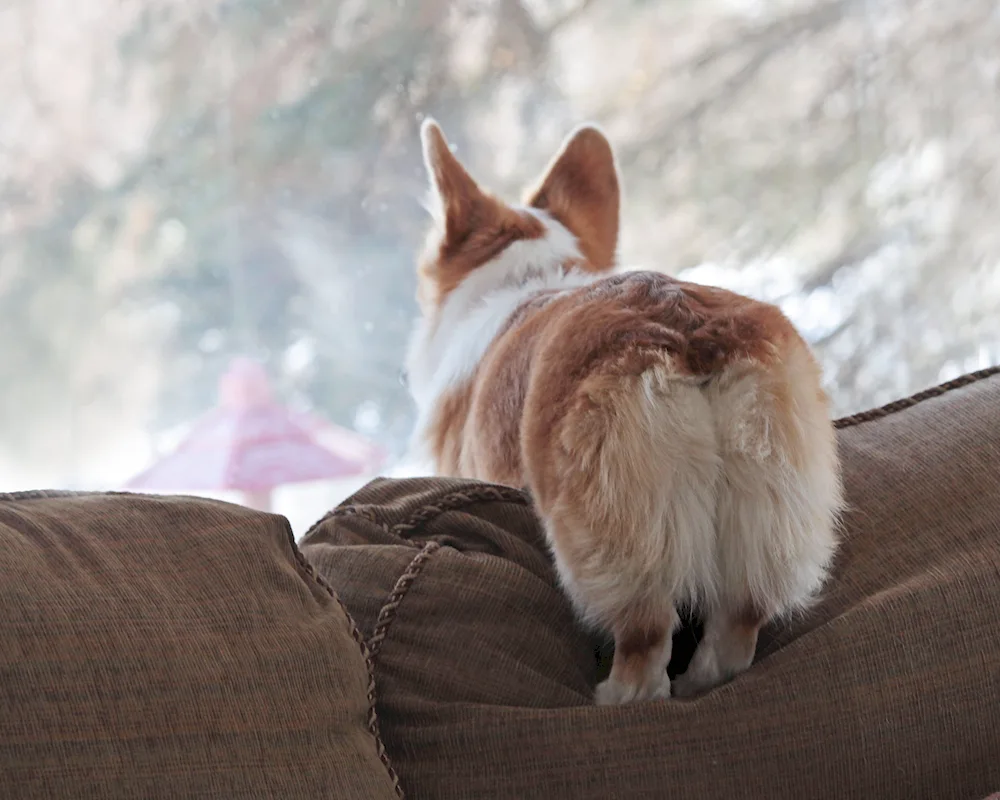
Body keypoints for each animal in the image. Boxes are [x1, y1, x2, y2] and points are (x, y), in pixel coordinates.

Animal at [402, 120, 840, 708]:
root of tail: (688, 337)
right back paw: (700, 683)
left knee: (645, 652)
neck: (530, 275)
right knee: (733, 632)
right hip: (767, 508)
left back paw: (610, 697)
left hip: (610, 541)